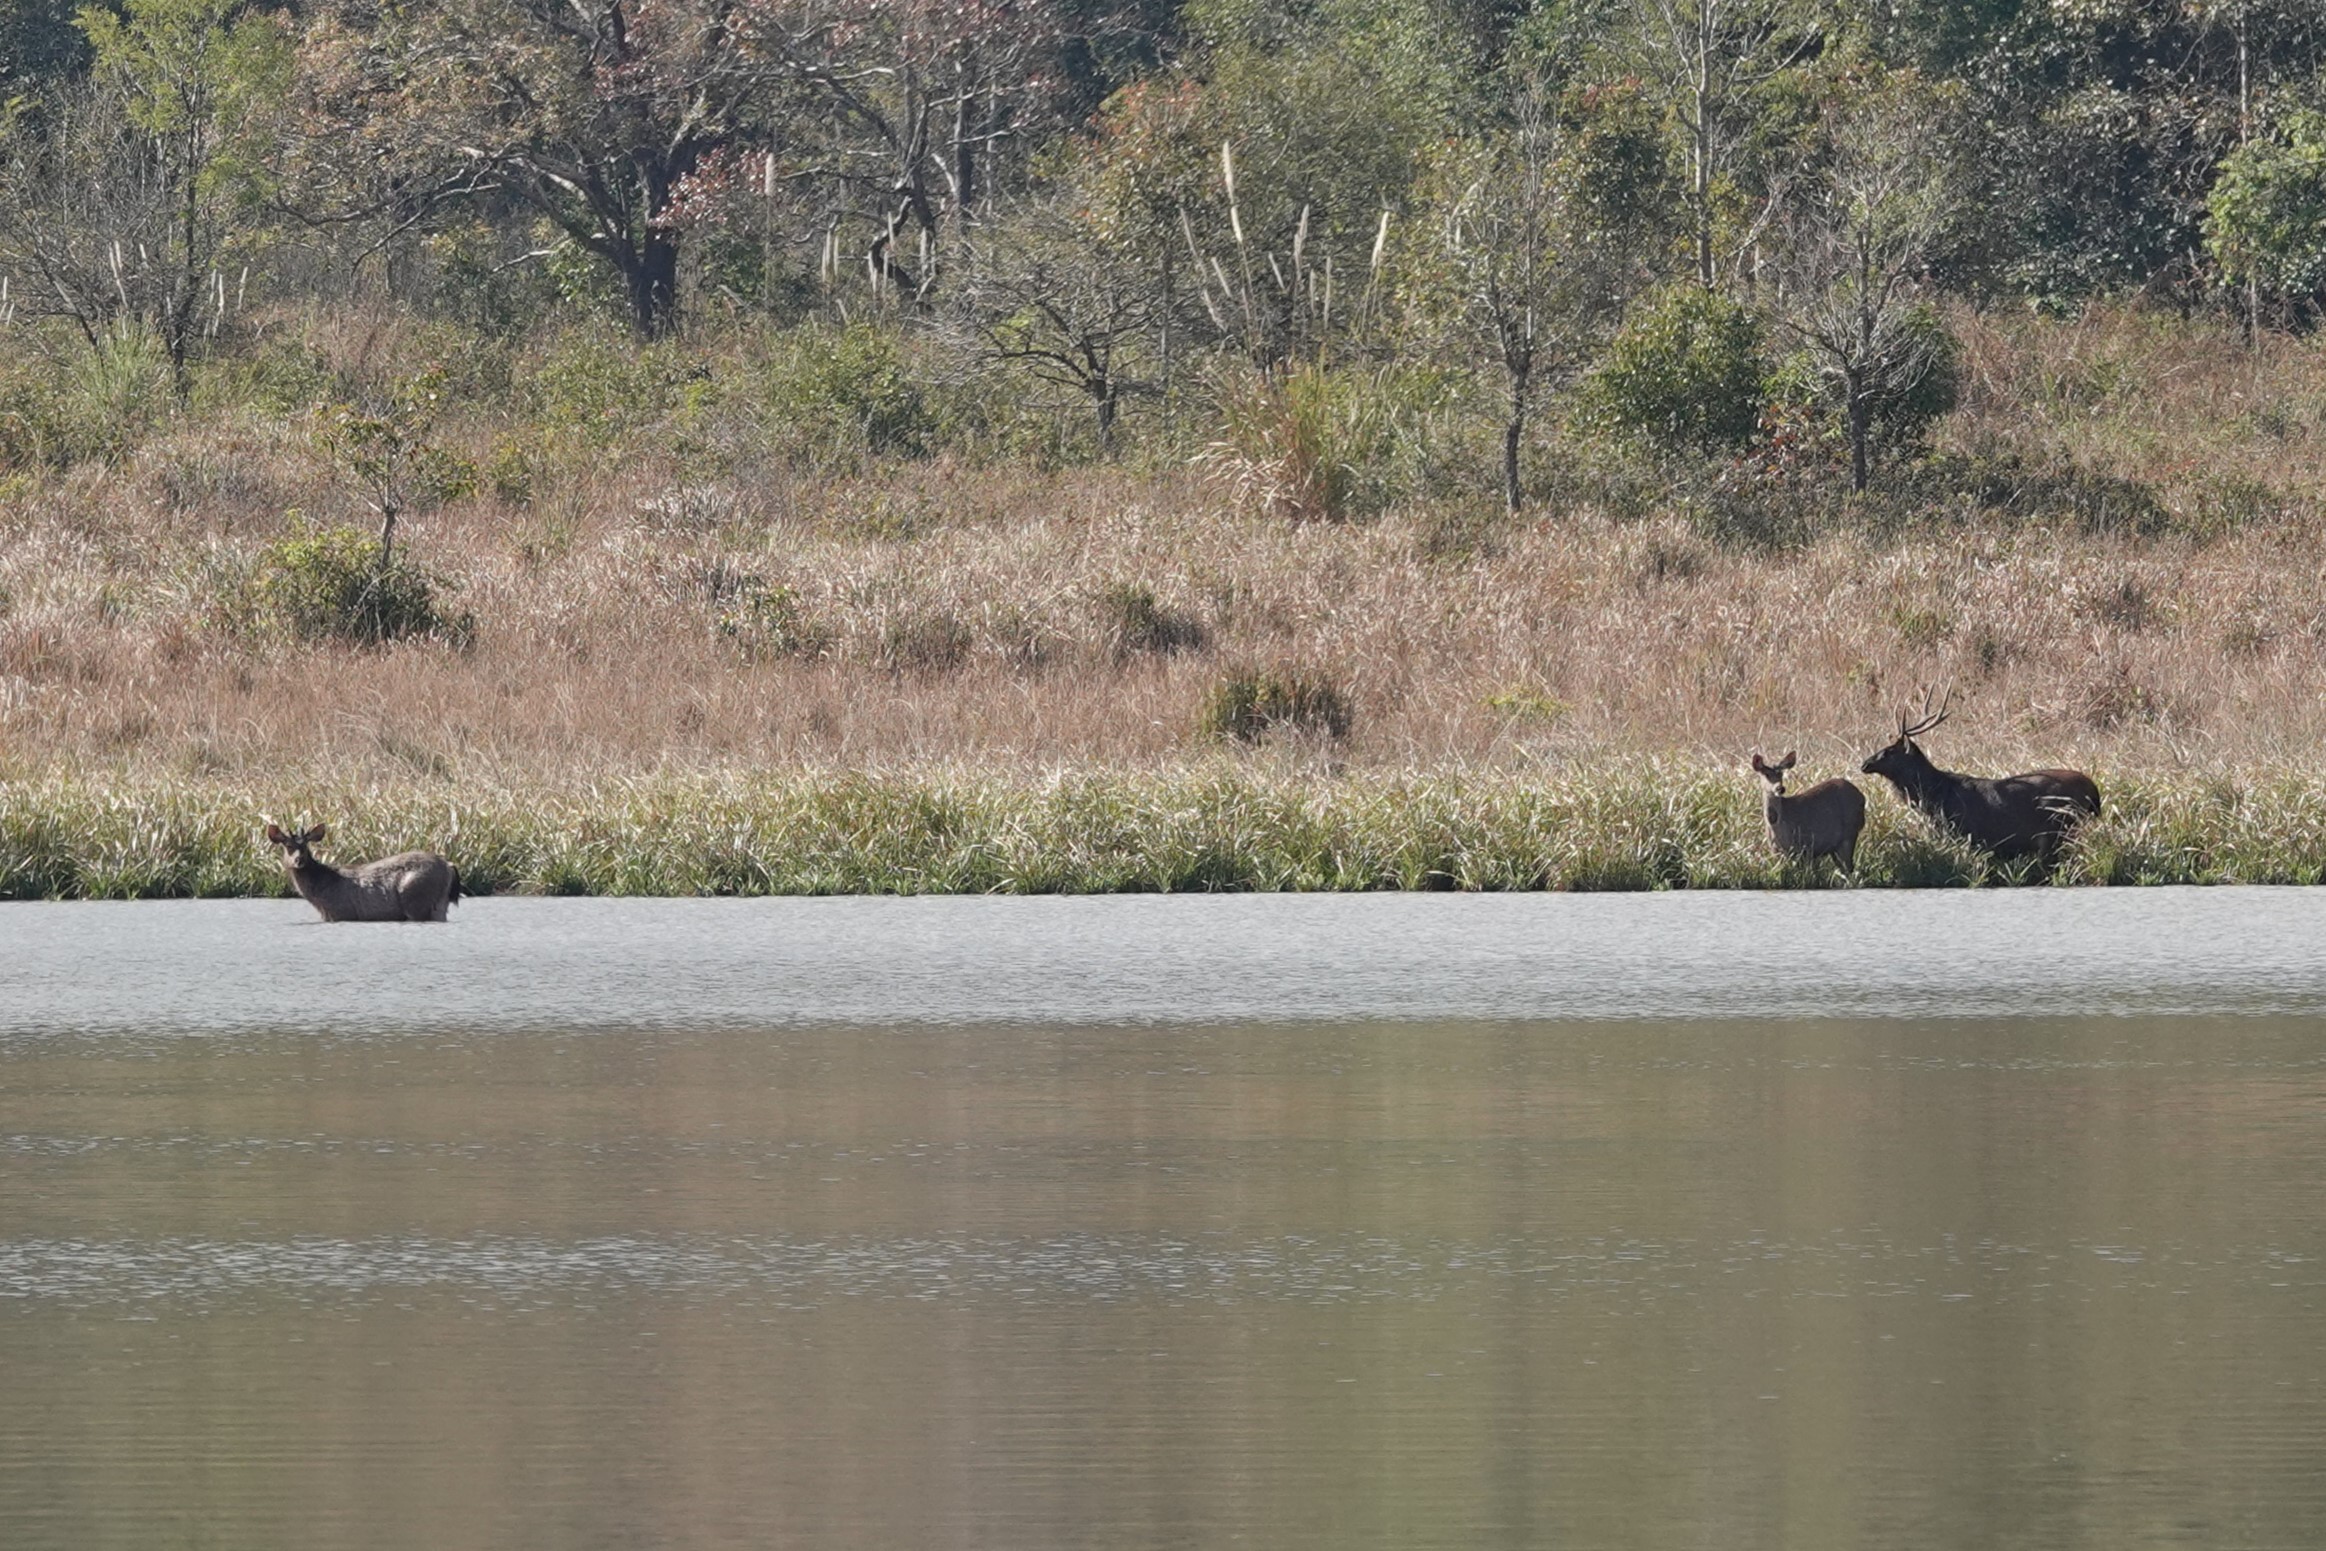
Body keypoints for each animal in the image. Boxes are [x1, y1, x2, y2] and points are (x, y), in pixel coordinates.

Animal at [263, 822, 463, 923]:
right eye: (288, 845)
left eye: (306, 846)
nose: (299, 861)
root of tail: (449, 866)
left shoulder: (341, 912)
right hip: (440, 903)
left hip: (416, 897)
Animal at [1858, 689, 2101, 864]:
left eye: (1889, 751)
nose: (1865, 764)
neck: (1933, 799)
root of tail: (2093, 790)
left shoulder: (1965, 833)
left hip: (2059, 827)